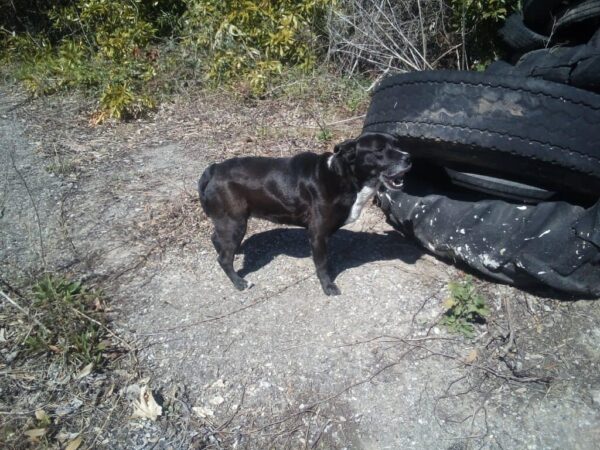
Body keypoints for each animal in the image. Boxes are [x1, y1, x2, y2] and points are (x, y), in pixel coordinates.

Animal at [199, 133, 410, 296]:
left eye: (397, 144)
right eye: (379, 149)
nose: (409, 157)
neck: (343, 176)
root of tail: (214, 169)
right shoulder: (317, 234)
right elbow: (322, 264)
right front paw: (328, 286)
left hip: (227, 222)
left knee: (216, 239)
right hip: (235, 223)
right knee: (224, 259)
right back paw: (240, 283)